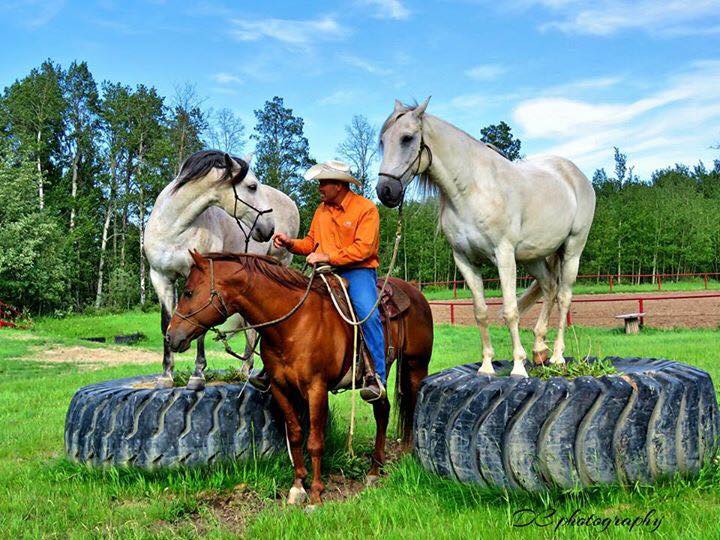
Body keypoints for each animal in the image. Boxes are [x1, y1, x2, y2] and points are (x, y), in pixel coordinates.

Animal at [166, 253, 430, 506]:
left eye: (188, 292)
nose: (170, 336)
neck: (292, 324)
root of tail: (414, 292)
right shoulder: (280, 388)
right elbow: (294, 435)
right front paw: (297, 486)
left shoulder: (317, 389)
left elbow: (315, 441)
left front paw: (316, 494)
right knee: (382, 411)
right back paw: (375, 469)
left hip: (416, 366)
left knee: (409, 406)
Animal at [376, 98, 596, 376]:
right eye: (383, 141)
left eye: (407, 138)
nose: (386, 191)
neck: (472, 190)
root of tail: (574, 175)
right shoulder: (465, 260)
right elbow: (480, 312)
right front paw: (487, 365)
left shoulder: (504, 255)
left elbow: (511, 311)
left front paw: (518, 366)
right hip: (533, 256)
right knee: (549, 287)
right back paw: (539, 350)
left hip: (572, 249)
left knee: (564, 297)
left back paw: (556, 356)